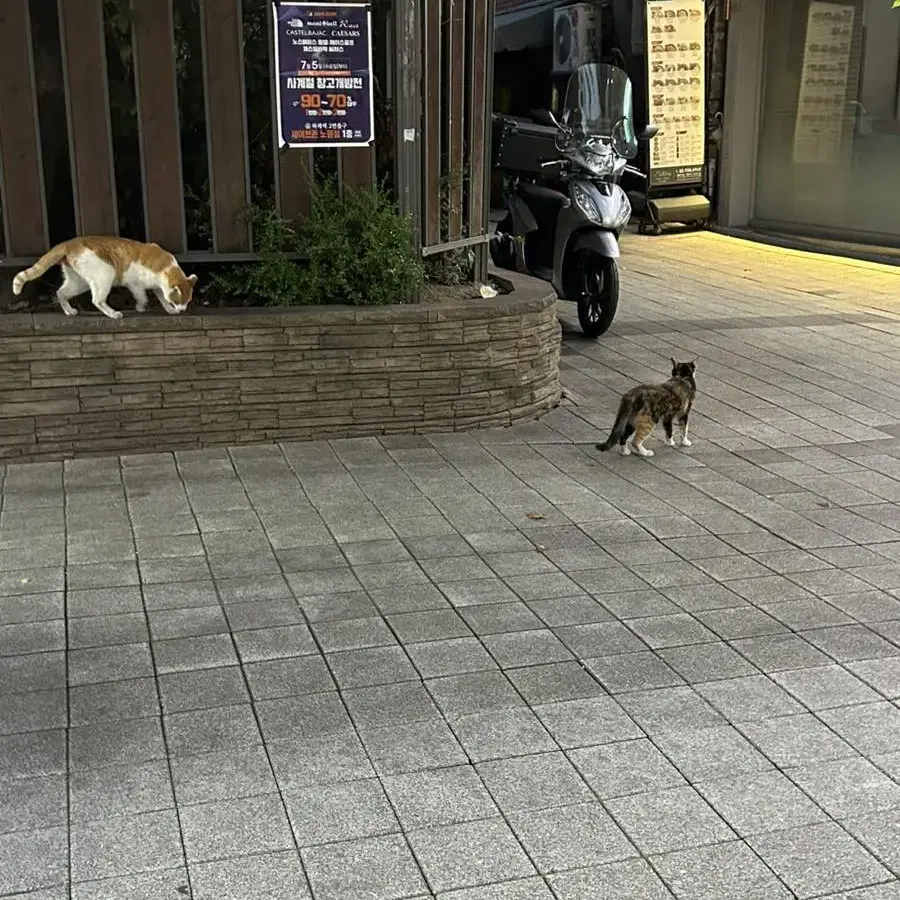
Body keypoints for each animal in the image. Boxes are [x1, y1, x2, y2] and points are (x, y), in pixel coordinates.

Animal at [11, 237, 197, 322]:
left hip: (78, 281)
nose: (183, 310)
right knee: (97, 300)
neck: (165, 266)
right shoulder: (135, 283)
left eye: (187, 302)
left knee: (61, 292)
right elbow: (142, 295)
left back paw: (69, 310)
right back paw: (112, 313)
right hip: (105, 272)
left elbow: (162, 297)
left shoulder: (158, 286)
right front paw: (141, 307)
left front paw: (169, 309)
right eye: (181, 301)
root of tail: (70, 243)